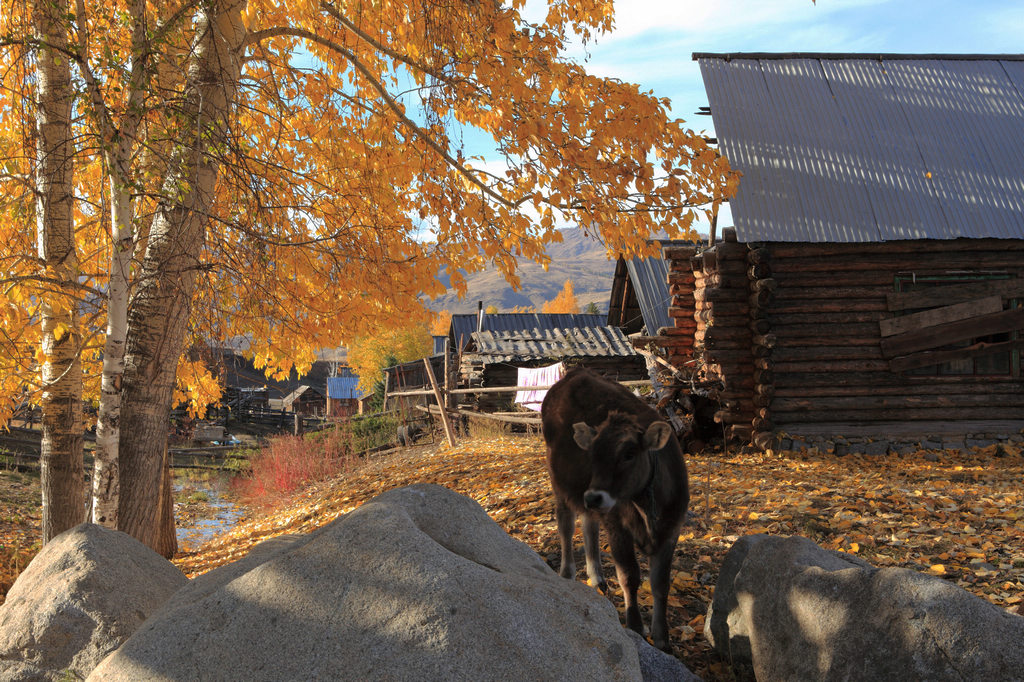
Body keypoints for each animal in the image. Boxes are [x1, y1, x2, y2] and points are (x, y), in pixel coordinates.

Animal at [540, 366, 692, 647]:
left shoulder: (672, 530)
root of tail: (575, 374)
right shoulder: (618, 527)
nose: (594, 496)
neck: (646, 508)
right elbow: (629, 576)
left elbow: (660, 583)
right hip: (560, 482)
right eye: (592, 454)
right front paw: (635, 627)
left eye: (629, 454)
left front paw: (662, 638)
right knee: (566, 525)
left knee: (589, 524)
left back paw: (597, 577)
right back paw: (567, 573)